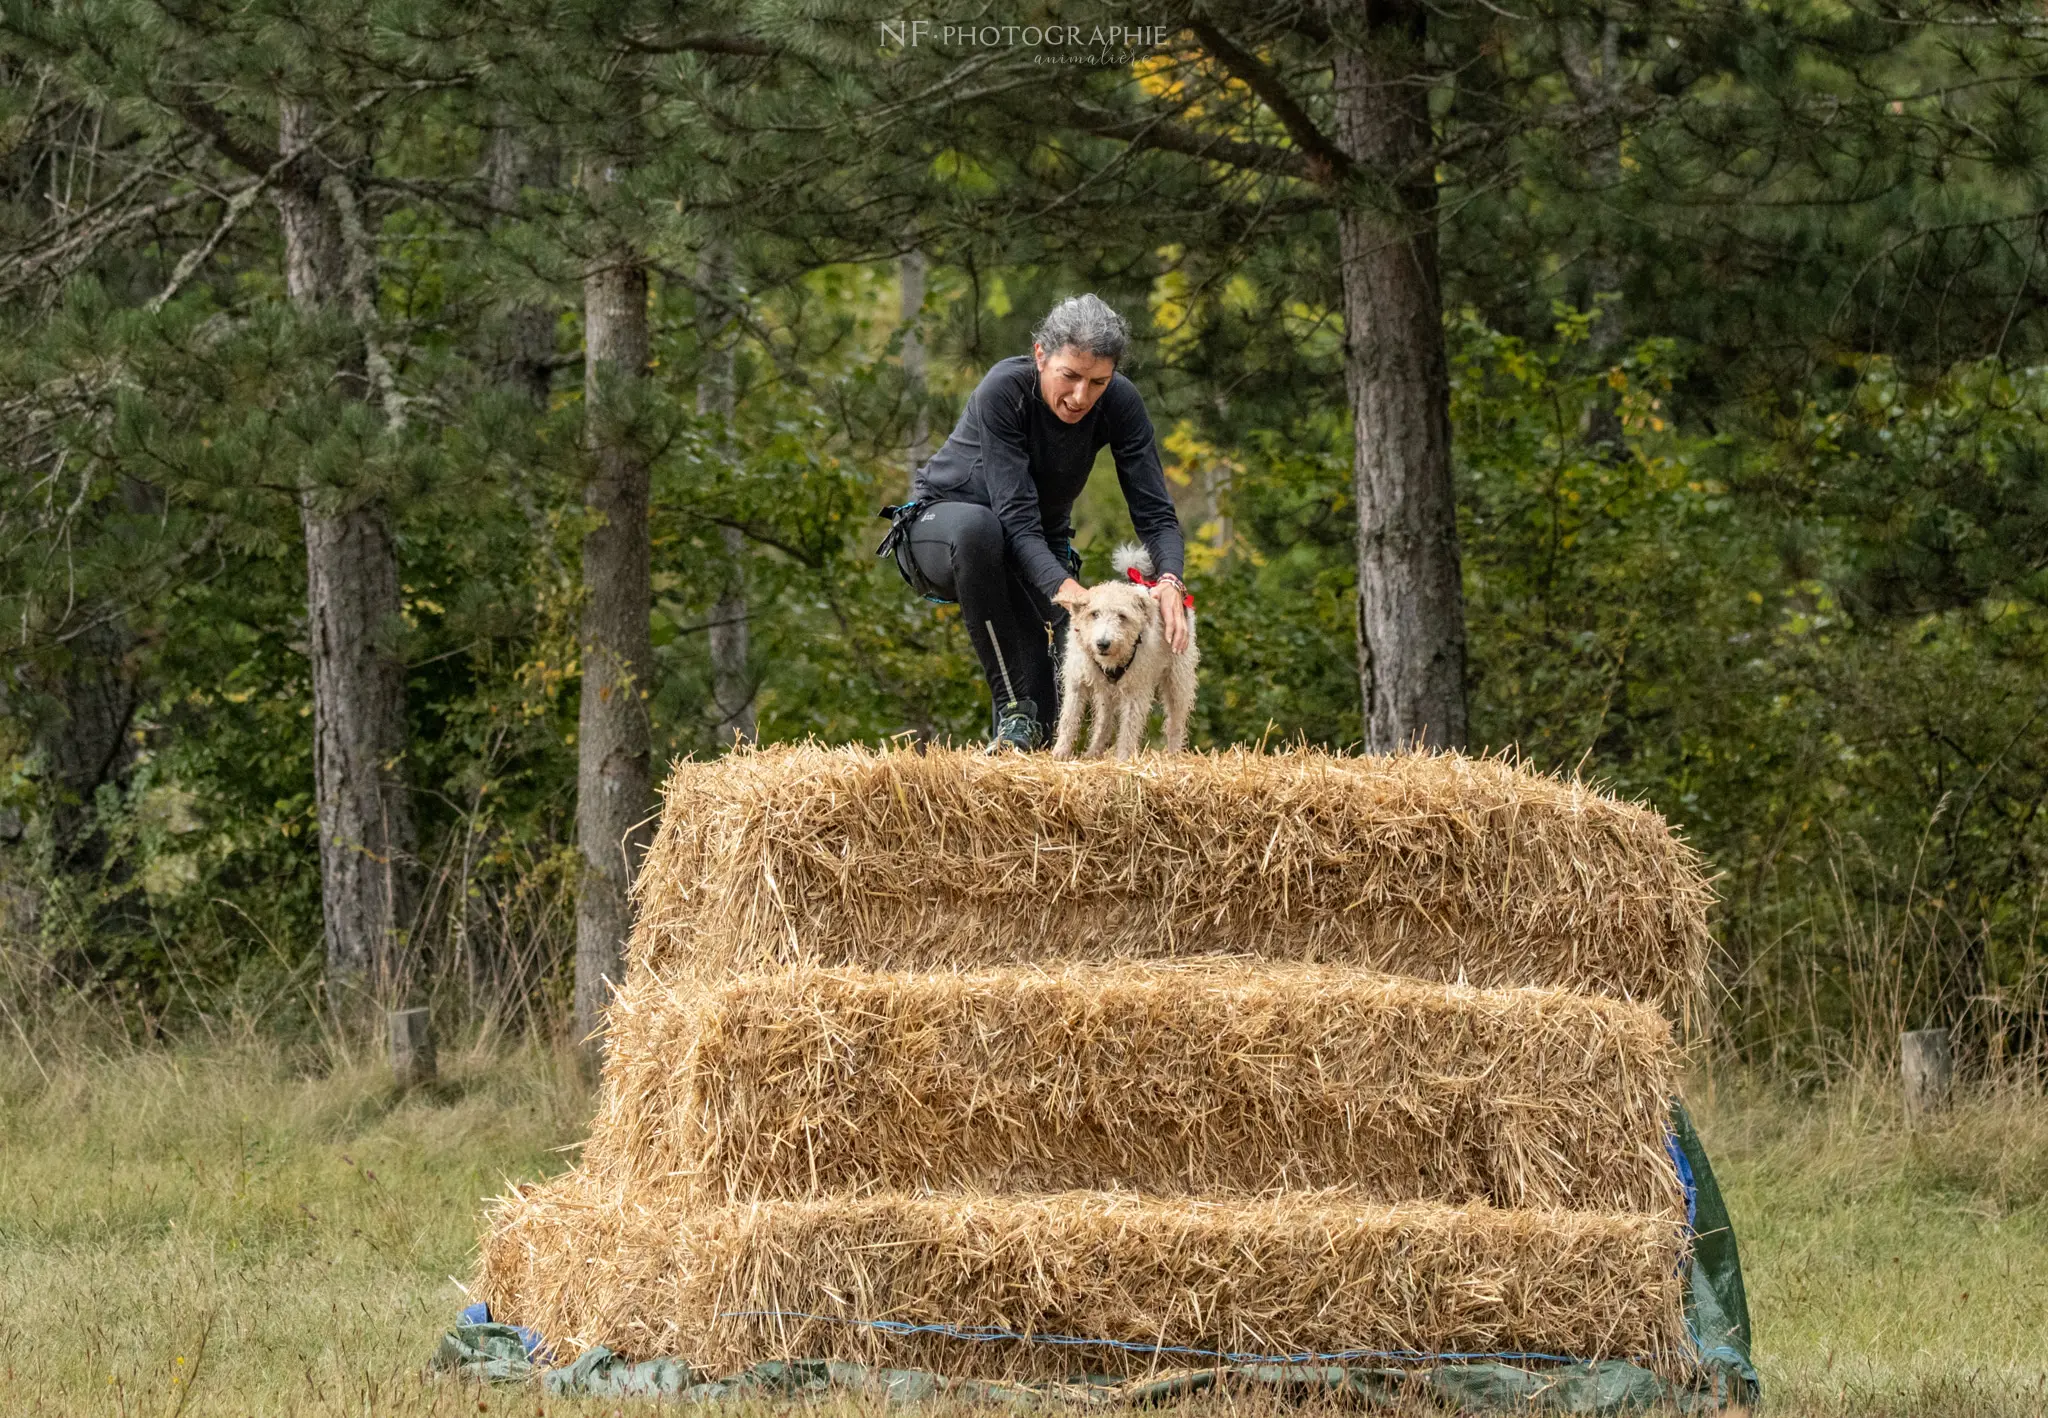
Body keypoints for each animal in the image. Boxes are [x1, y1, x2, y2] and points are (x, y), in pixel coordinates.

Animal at [1056, 545, 1196, 766]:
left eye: (1122, 616)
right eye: (1094, 614)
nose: (1103, 643)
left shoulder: (1136, 691)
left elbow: (1129, 729)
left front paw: (1122, 761)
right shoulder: (1077, 682)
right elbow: (1069, 719)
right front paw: (1059, 753)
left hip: (1178, 680)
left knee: (1176, 722)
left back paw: (1174, 755)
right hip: (1106, 693)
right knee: (1103, 723)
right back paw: (1093, 752)